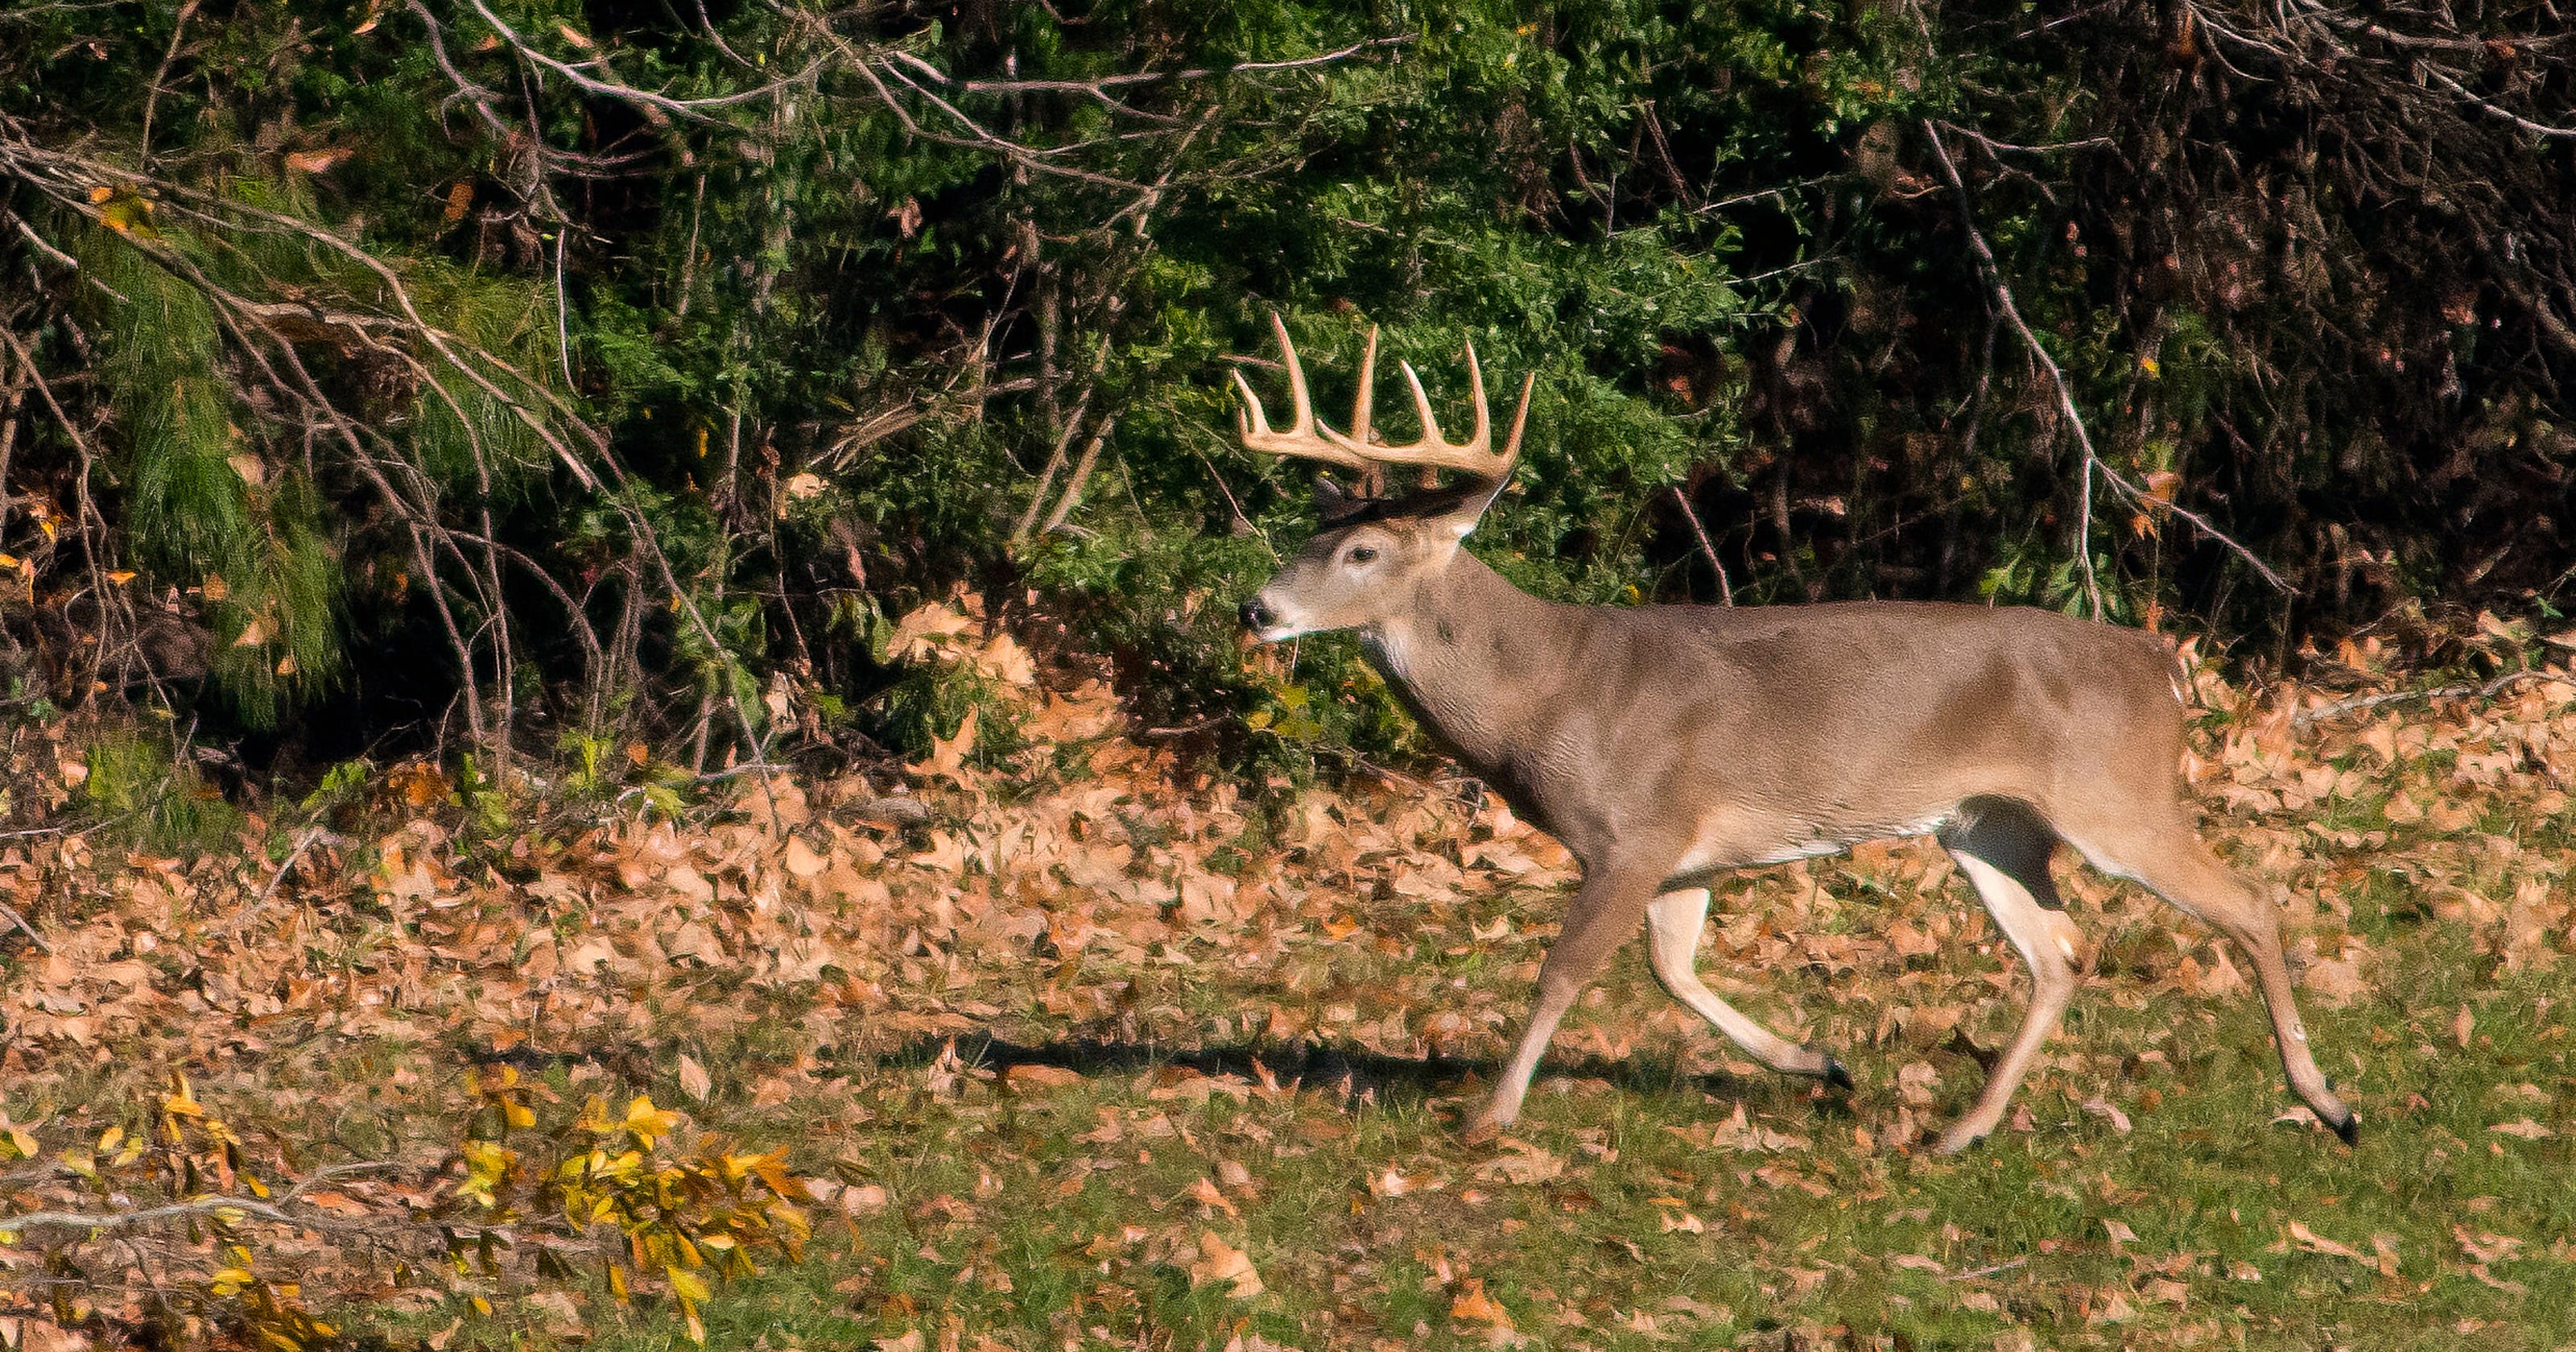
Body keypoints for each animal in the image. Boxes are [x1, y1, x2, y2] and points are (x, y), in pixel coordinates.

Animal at [1227, 315, 2357, 1154]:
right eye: (1305, 537)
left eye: (1364, 551)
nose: (1254, 608)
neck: (1544, 696)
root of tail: (2162, 667)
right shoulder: (1684, 853)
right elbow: (1671, 971)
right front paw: (1819, 1064)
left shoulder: (1636, 827)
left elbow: (1565, 971)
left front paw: (1488, 1116)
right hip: (1986, 824)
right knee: (2060, 952)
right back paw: (1959, 1131)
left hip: (2115, 795)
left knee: (2247, 902)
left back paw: (2327, 1103)